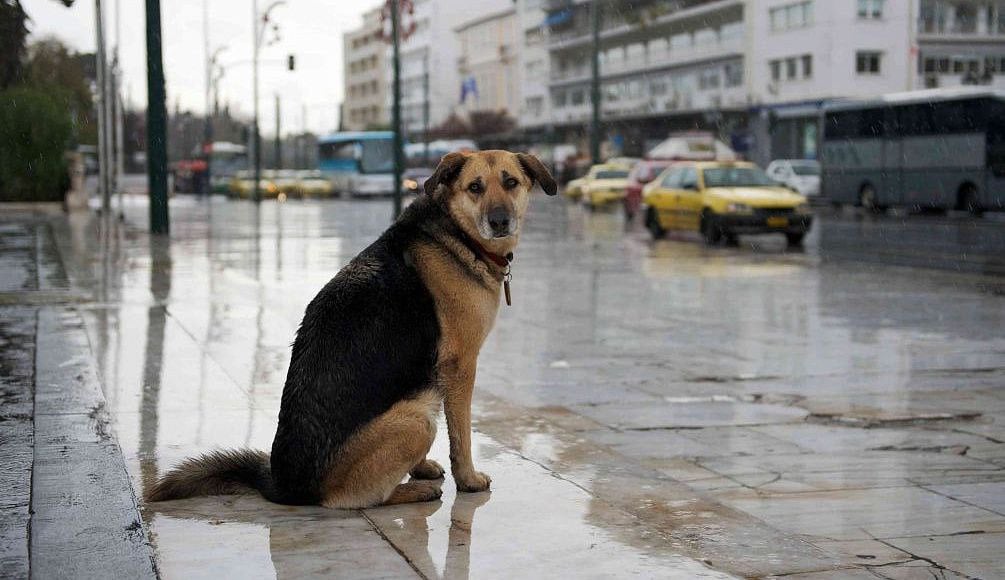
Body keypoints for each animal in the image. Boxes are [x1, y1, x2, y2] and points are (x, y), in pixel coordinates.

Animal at [148, 148, 558, 506]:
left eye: (510, 182)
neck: (455, 234)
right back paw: (414, 492)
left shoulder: (431, 372)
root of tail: (285, 485)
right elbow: (461, 435)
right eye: (475, 187)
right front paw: (468, 480)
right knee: (354, 499)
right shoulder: (459, 366)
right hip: (416, 419)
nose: (500, 221)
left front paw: (422, 468)